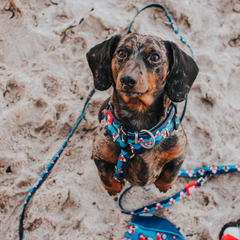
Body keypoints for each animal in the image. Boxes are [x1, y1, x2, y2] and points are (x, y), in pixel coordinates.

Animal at [86, 33, 199, 195]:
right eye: (121, 53)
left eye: (155, 57)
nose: (127, 79)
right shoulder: (100, 154)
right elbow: (106, 176)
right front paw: (114, 188)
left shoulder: (179, 152)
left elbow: (171, 173)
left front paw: (163, 186)